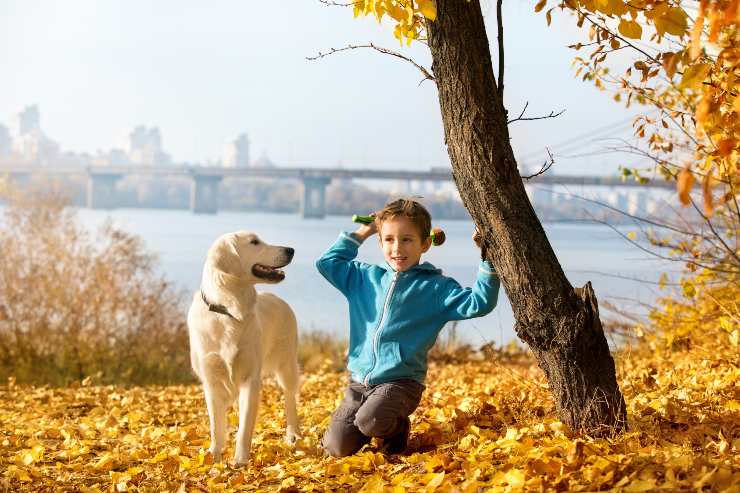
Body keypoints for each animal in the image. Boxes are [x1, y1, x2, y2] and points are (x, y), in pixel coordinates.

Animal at [188, 231, 300, 466]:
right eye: (254, 242)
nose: (291, 250)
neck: (229, 310)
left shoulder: (250, 378)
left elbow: (244, 426)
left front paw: (240, 461)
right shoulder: (211, 380)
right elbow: (216, 426)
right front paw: (214, 458)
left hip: (286, 364)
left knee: (290, 397)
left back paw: (293, 434)